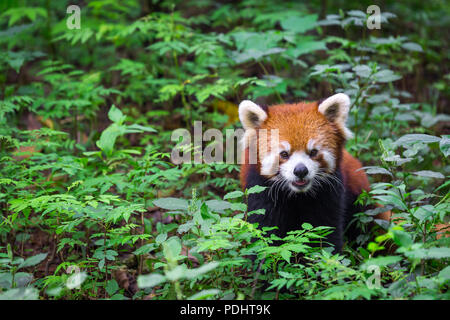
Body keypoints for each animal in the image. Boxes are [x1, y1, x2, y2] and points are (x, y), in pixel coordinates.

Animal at [239, 93, 384, 252]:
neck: (298, 196)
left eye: (313, 152)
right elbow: (264, 232)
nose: (300, 171)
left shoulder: (330, 193)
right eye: (284, 154)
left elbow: (326, 230)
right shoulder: (260, 191)